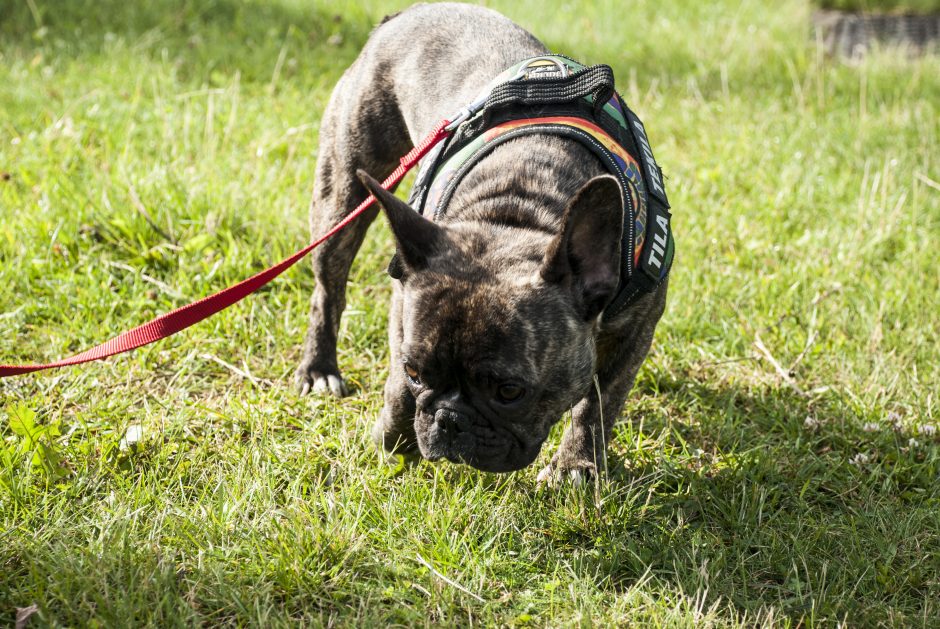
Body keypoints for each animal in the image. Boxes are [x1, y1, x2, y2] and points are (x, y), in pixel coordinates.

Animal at [294, 2, 668, 478]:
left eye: (509, 392)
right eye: (416, 372)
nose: (450, 420)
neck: (518, 211)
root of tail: (407, 13)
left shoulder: (636, 326)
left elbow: (599, 404)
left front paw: (575, 464)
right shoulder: (405, 298)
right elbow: (396, 386)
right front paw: (394, 438)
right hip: (343, 196)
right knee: (328, 290)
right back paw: (319, 369)